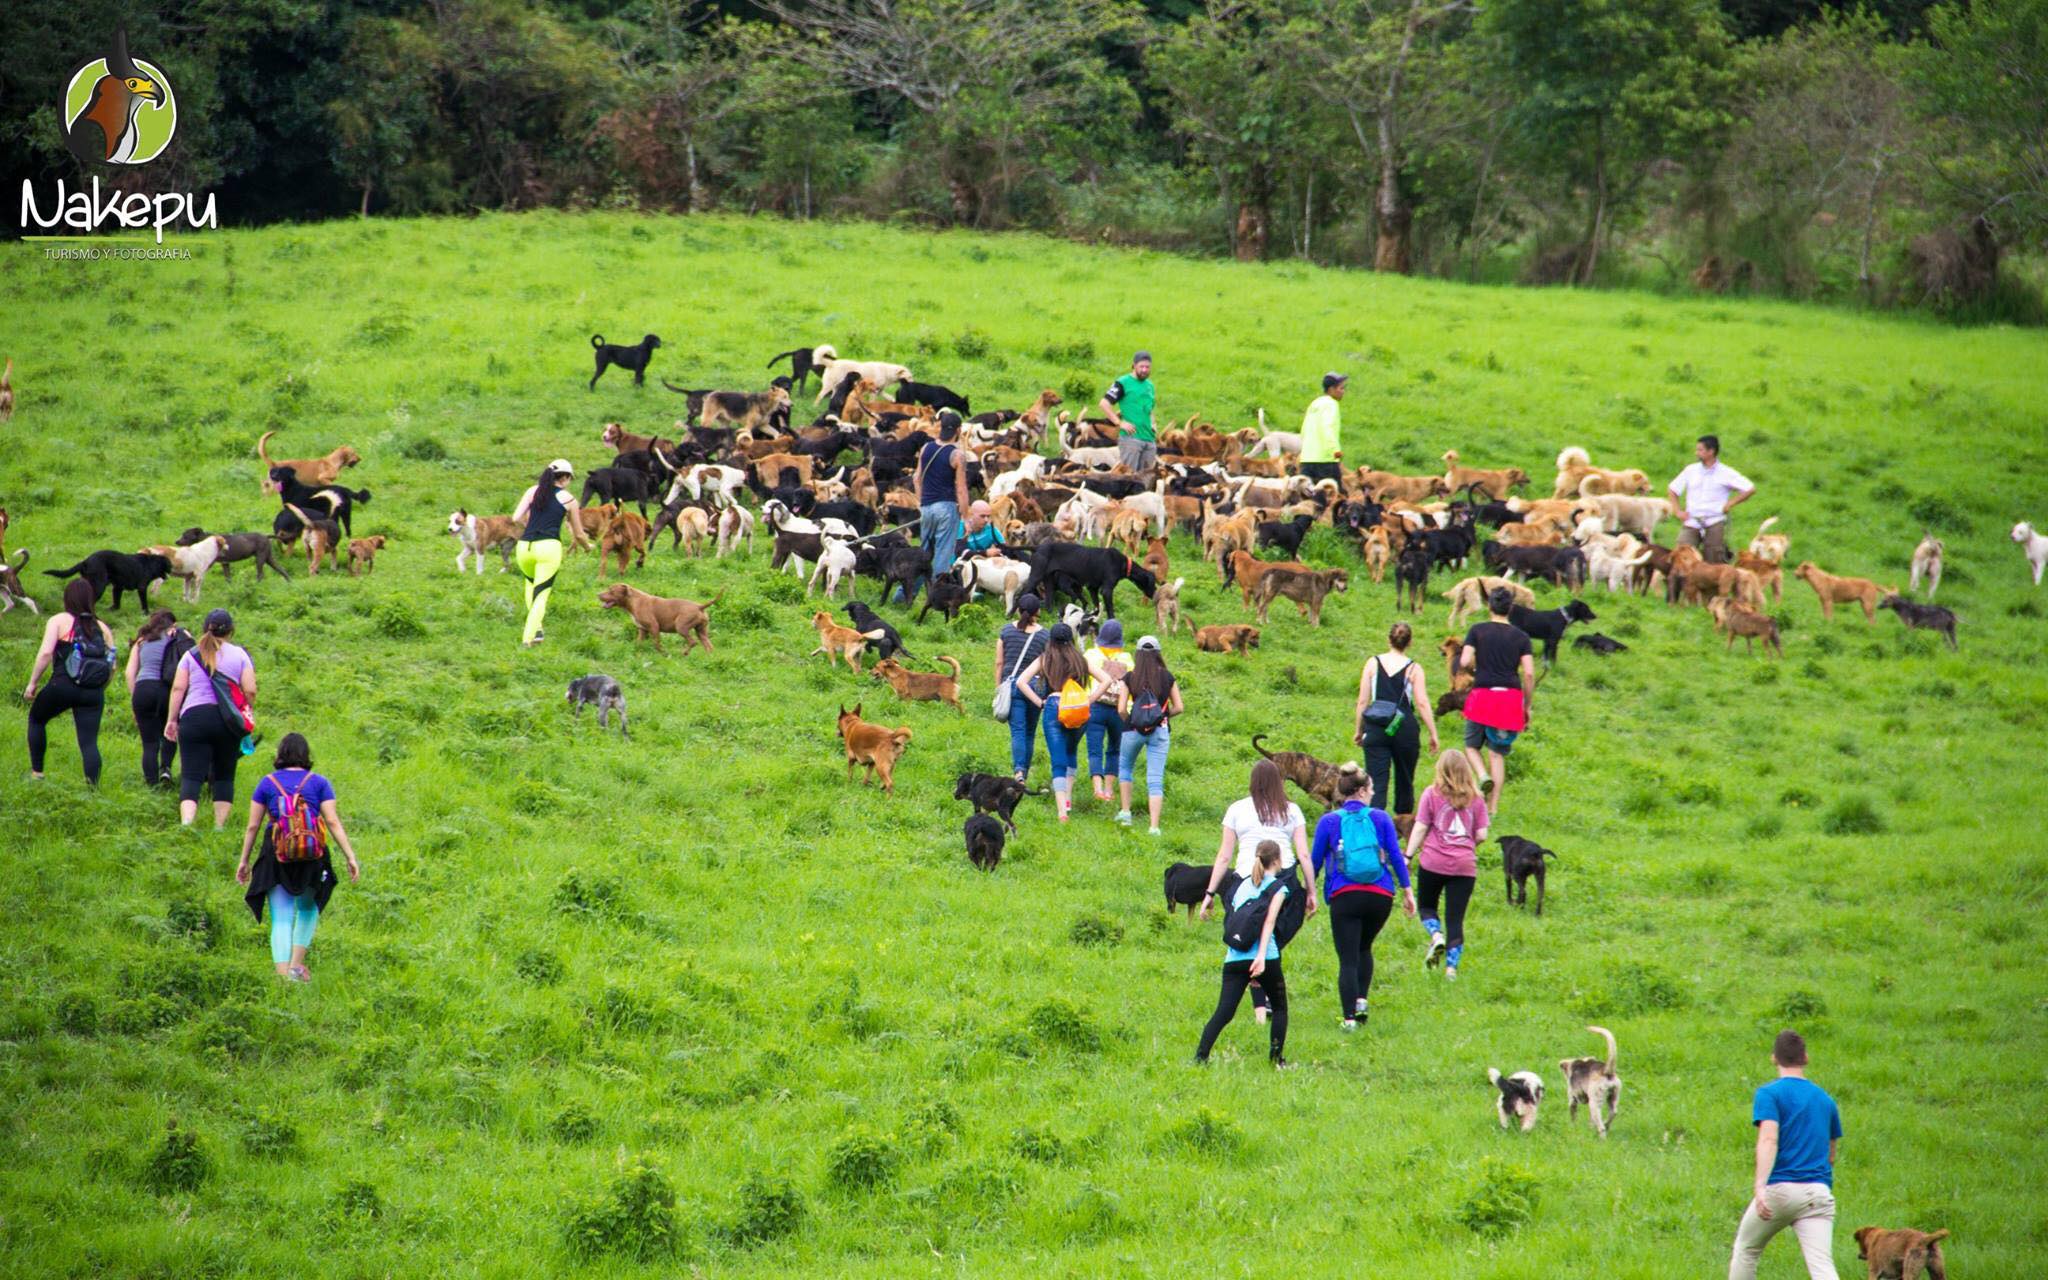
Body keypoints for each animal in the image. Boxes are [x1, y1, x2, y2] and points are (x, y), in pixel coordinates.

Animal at [43, 548, 173, 610]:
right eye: (169, 566)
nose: (172, 571)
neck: (150, 564)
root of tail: (85, 561)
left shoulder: (118, 587)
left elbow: (116, 601)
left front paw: (113, 610)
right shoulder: (141, 587)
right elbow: (144, 602)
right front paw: (146, 613)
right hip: (99, 586)